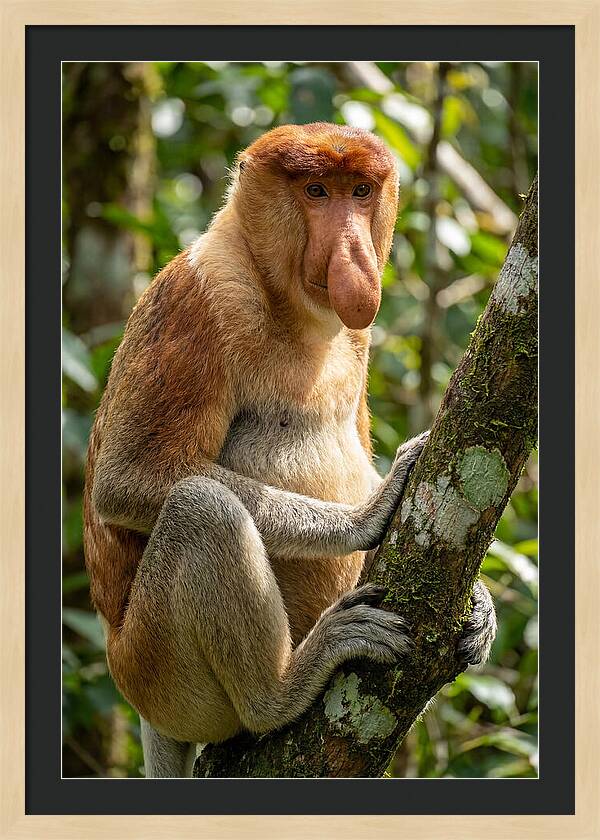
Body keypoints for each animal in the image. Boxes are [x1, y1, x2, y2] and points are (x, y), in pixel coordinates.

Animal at [83, 123, 496, 778]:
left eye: (359, 191)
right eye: (316, 191)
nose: (354, 253)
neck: (293, 308)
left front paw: (480, 604)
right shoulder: (198, 300)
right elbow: (128, 479)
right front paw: (367, 515)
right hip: (155, 672)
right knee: (202, 509)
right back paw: (282, 689)